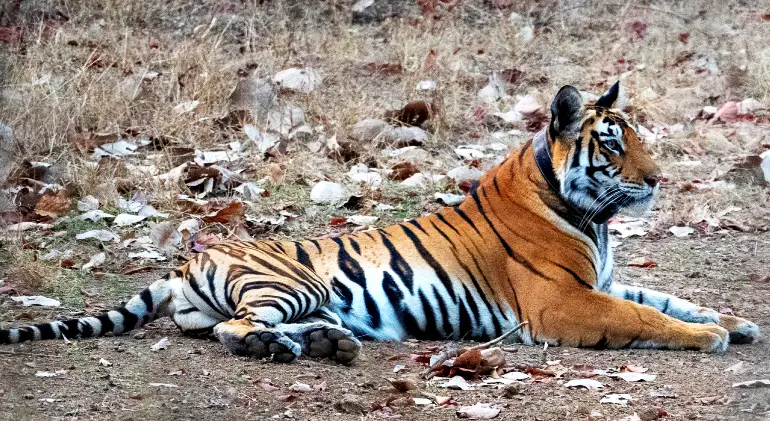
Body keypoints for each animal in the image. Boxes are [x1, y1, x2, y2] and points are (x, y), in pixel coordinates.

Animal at [0, 80, 756, 362]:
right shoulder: (562, 301)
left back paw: (327, 341)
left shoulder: (598, 280)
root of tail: (190, 257)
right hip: (291, 283)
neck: (590, 215)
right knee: (233, 329)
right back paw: (284, 345)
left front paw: (732, 319)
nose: (658, 179)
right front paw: (711, 335)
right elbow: (644, 315)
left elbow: (665, 295)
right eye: (613, 143)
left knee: (225, 324)